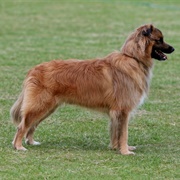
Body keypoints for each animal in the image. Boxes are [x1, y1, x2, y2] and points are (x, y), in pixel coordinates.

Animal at [10, 24, 174, 155]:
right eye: (159, 40)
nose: (173, 48)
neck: (132, 58)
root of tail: (34, 70)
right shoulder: (123, 111)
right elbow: (123, 133)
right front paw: (125, 151)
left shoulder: (116, 113)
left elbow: (116, 132)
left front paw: (117, 147)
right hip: (40, 106)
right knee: (22, 126)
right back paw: (19, 147)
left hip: (47, 108)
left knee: (31, 126)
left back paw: (31, 142)